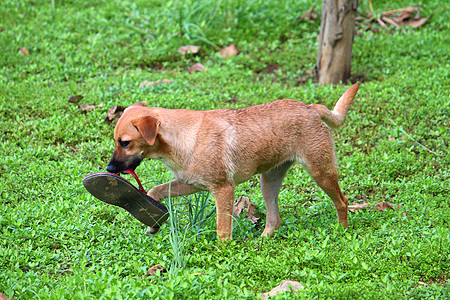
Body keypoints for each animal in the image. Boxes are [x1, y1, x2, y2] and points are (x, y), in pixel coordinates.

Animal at [107, 82, 360, 241]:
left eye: (125, 142)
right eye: (117, 141)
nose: (109, 168)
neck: (183, 136)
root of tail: (311, 108)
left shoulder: (223, 190)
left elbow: (222, 231)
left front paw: (222, 254)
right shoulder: (190, 184)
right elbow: (155, 191)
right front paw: (152, 222)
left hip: (320, 172)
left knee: (342, 202)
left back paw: (342, 231)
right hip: (268, 182)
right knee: (274, 220)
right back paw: (262, 241)